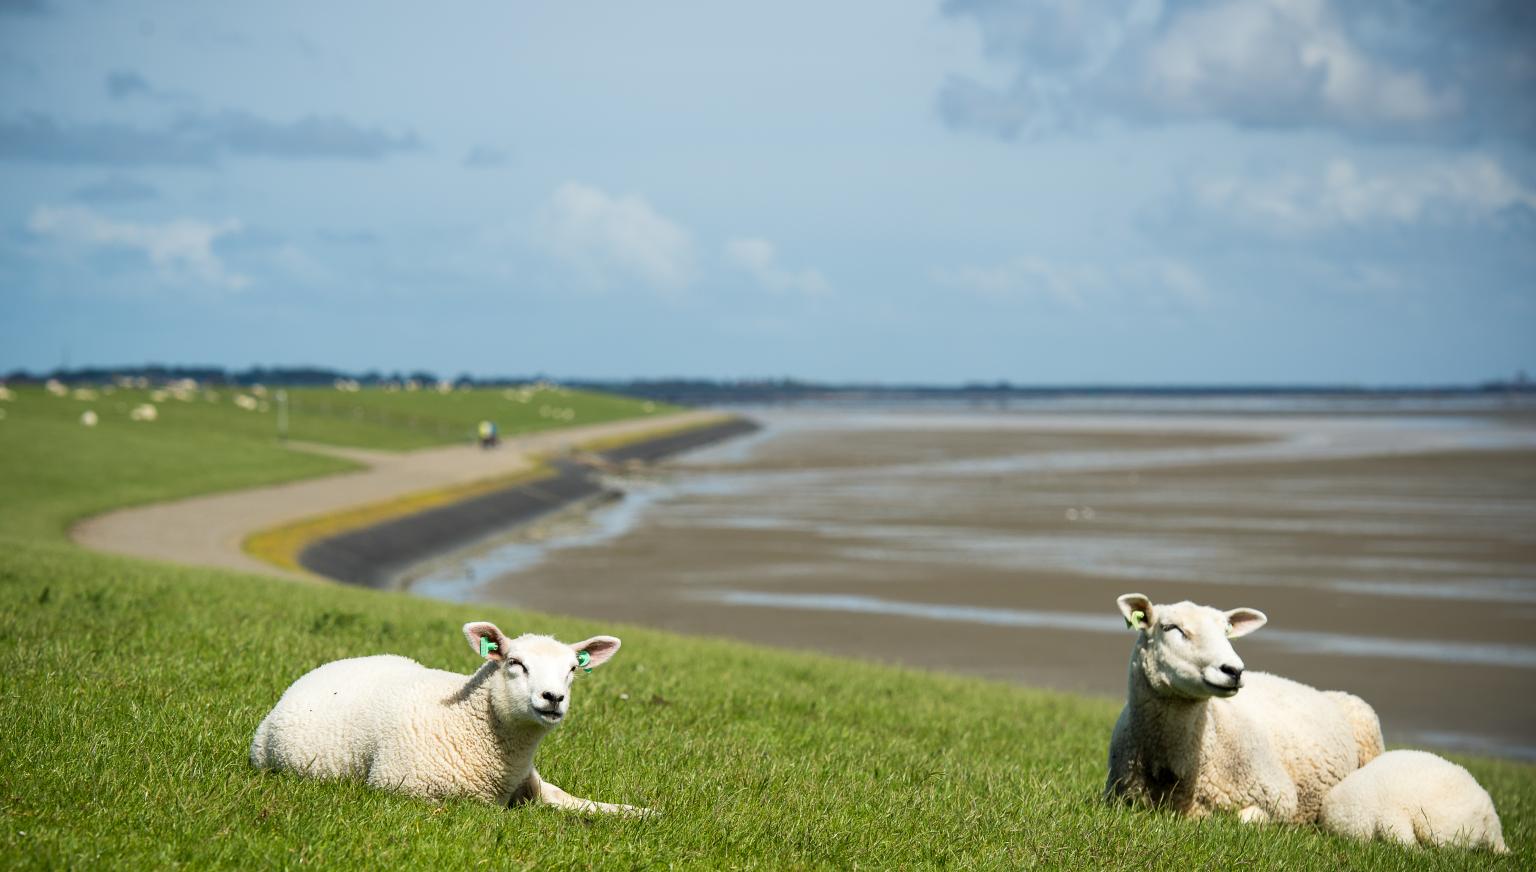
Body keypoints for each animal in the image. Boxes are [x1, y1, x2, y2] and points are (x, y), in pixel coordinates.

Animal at [248, 620, 645, 816]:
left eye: (572, 670)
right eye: (515, 663)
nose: (553, 698)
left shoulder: (532, 783)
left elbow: (576, 801)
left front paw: (639, 813)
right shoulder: (401, 788)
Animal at [1099, 592, 1388, 822]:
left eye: (1226, 631)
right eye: (1171, 627)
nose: (1234, 670)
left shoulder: (1280, 798)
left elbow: (1241, 820)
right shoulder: (1121, 800)